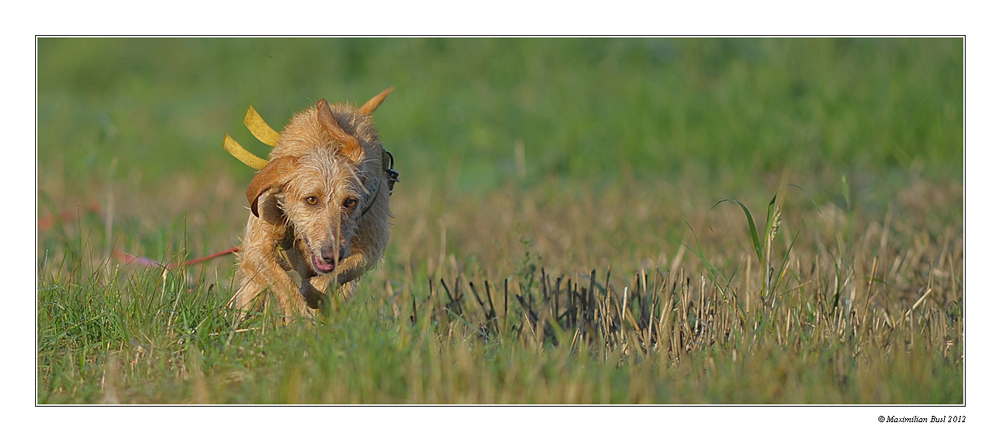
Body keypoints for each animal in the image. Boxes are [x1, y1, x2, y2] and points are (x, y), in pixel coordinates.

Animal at [229, 87, 396, 318]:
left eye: (350, 202)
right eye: (311, 200)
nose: (331, 256)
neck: (324, 144)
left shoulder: (369, 249)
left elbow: (327, 280)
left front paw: (314, 297)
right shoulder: (256, 248)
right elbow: (283, 283)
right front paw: (299, 316)